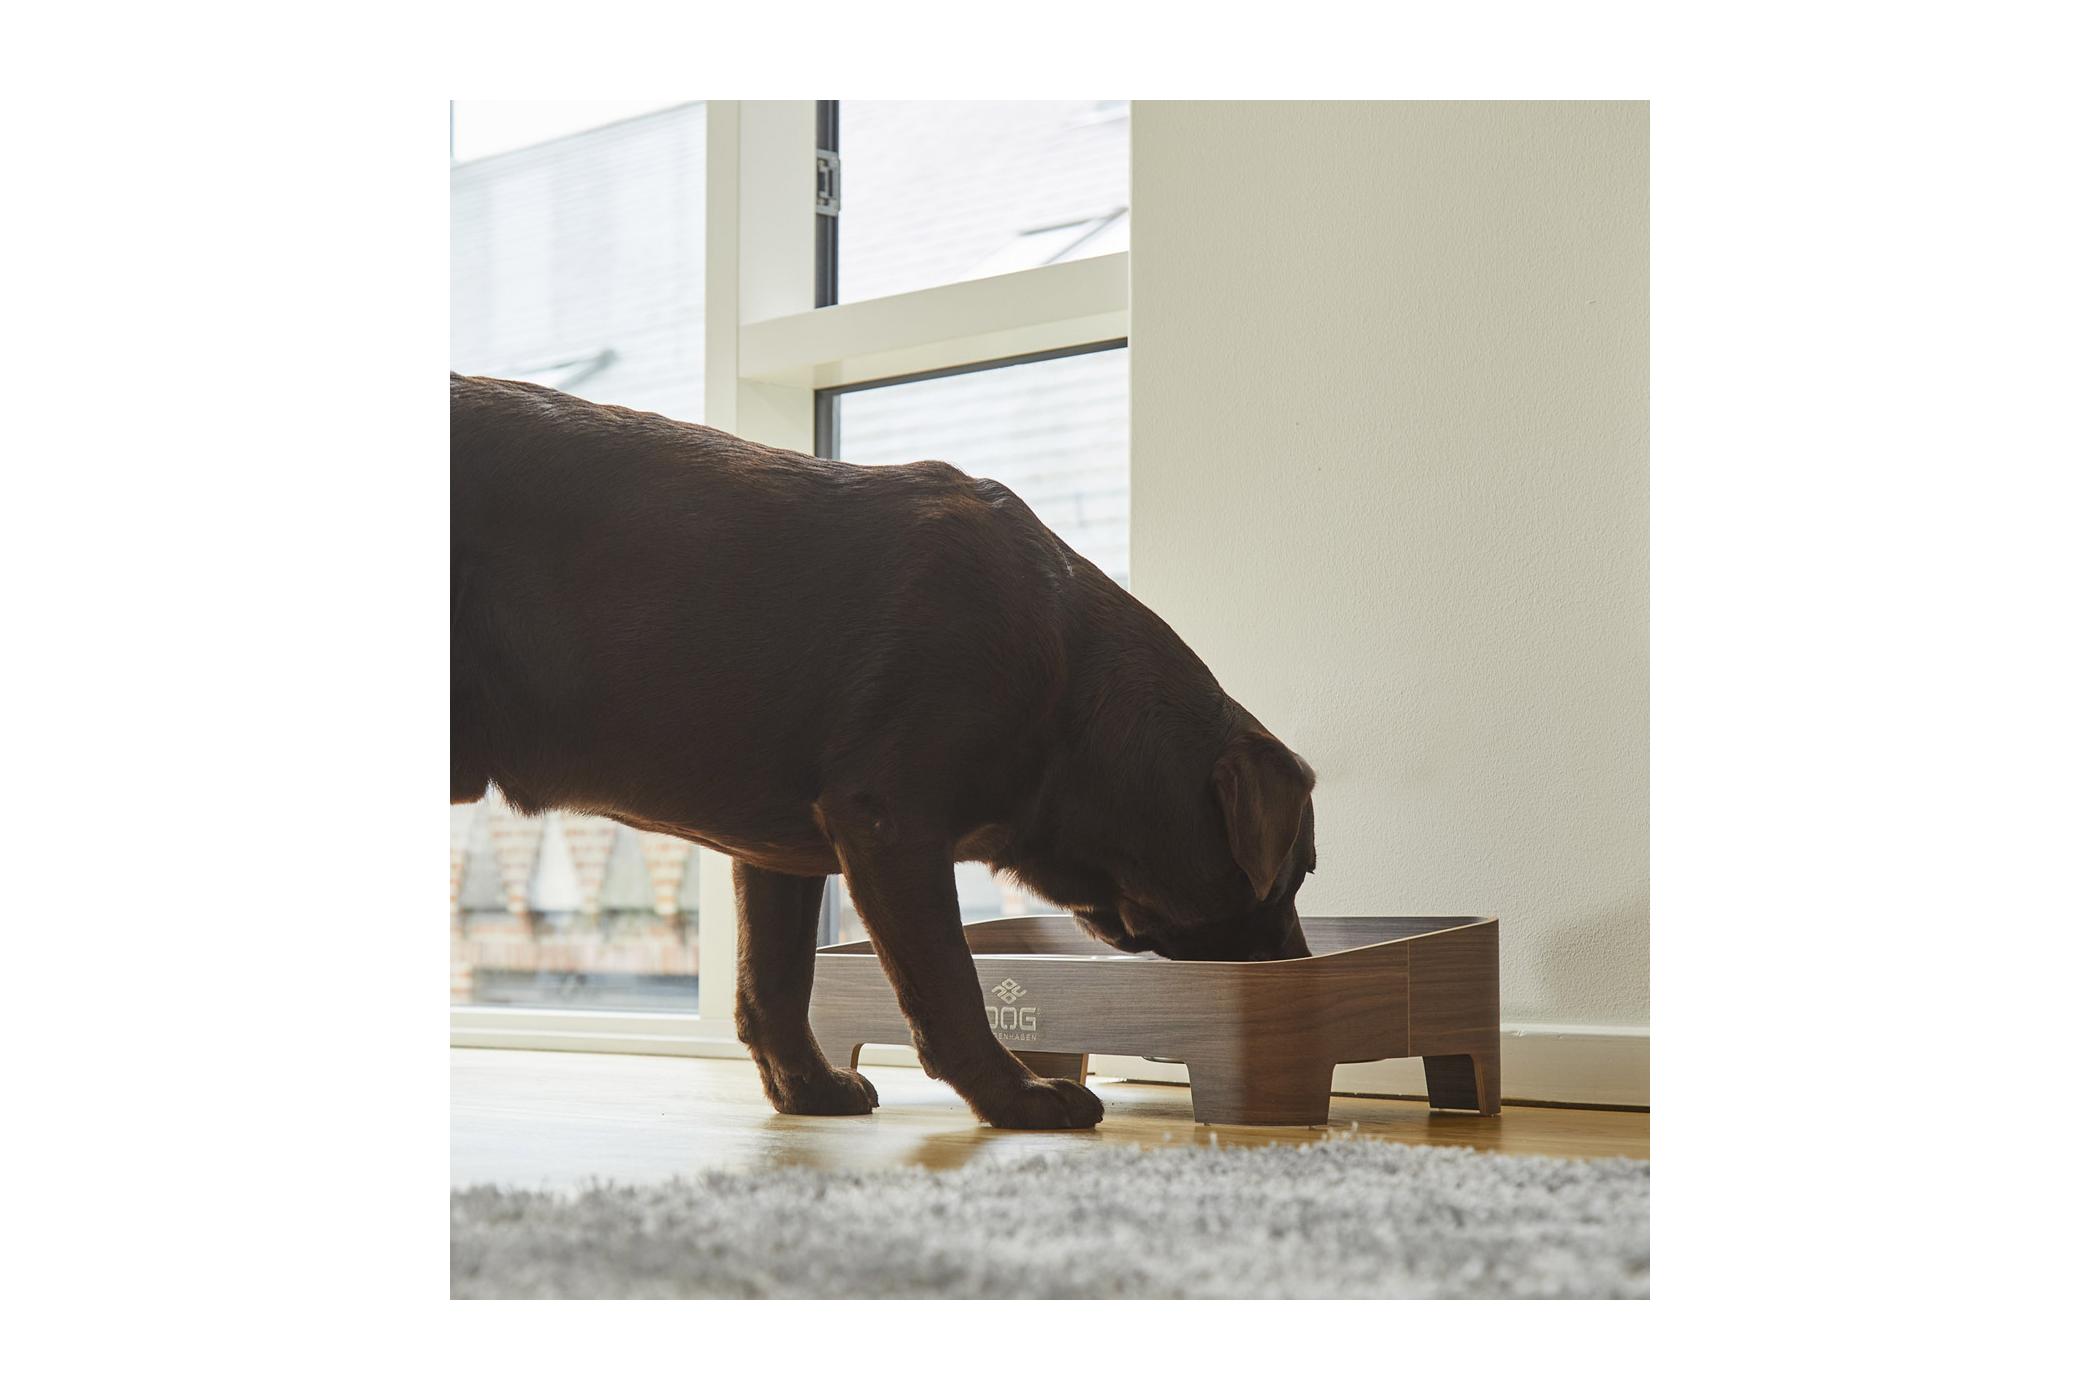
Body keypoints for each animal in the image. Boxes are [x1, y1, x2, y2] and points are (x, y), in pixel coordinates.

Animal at [452, 373, 1316, 1129]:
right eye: (1300, 872)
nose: (1302, 968)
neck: (1069, 689)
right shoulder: (891, 824)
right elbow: (949, 983)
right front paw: (1019, 1098)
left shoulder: (778, 853)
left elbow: (775, 983)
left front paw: (806, 1088)